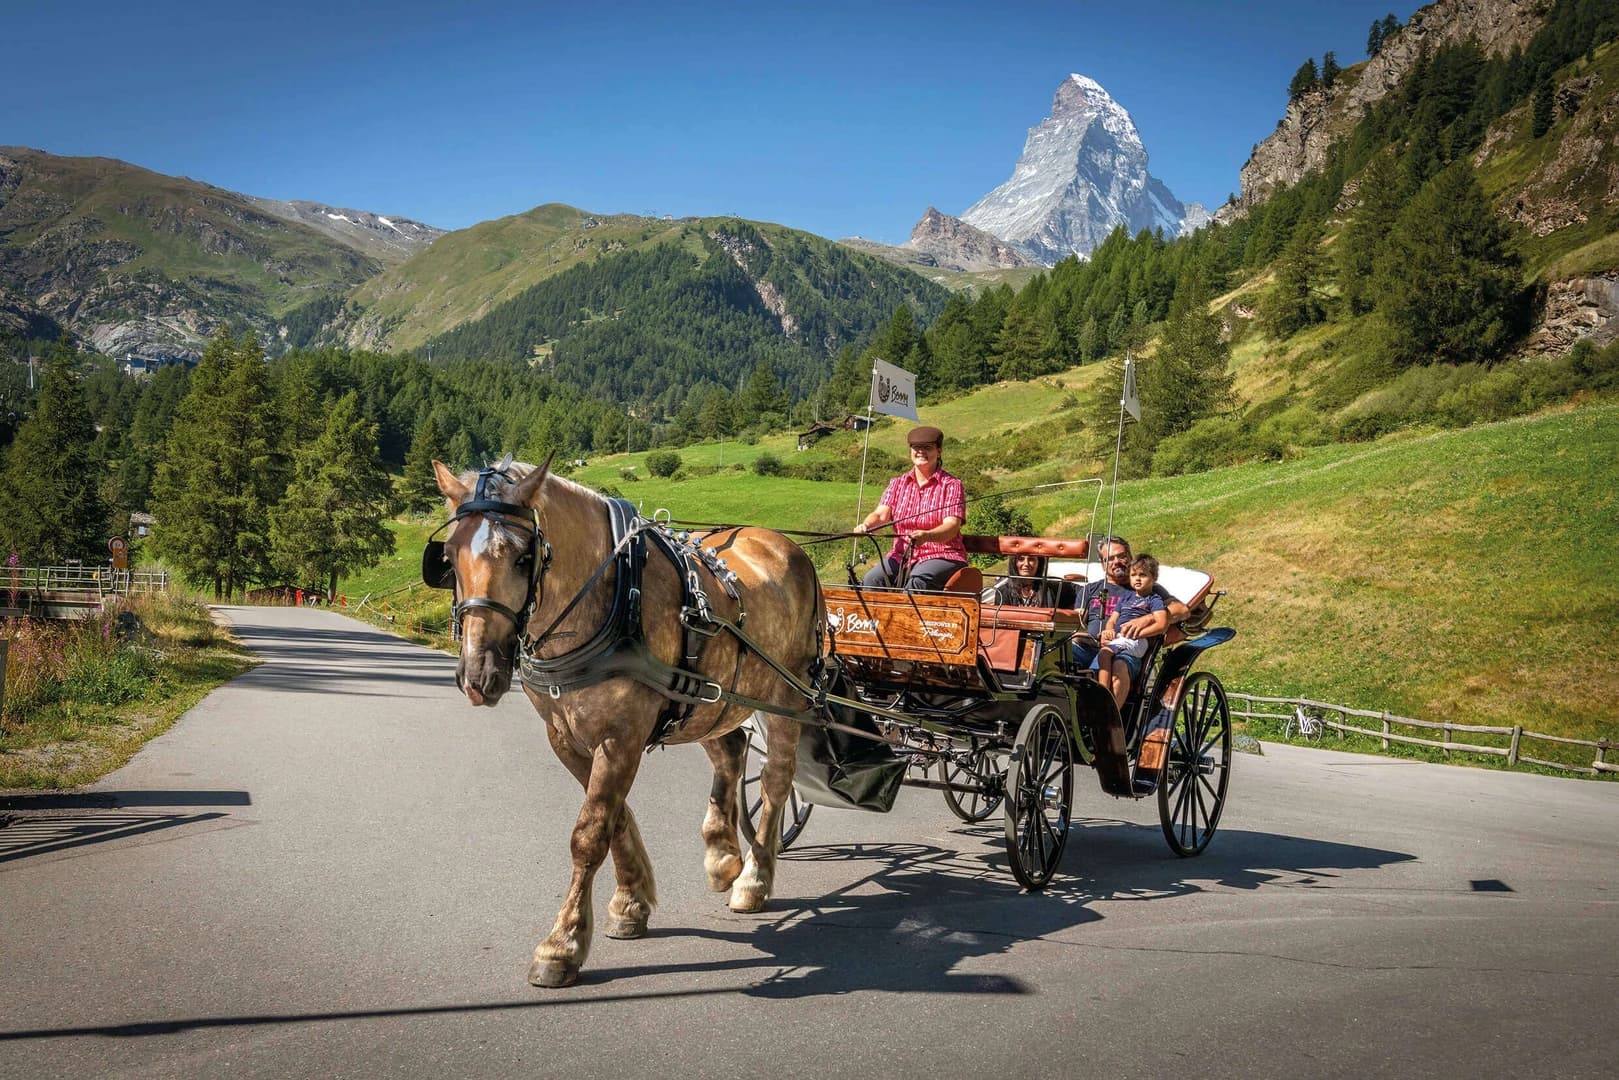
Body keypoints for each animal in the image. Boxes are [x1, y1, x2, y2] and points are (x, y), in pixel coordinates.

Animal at [429, 457, 823, 988]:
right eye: (449, 557)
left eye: (523, 558)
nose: (478, 675)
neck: (614, 593)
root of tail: (787, 545)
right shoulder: (565, 736)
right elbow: (613, 819)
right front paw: (631, 902)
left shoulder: (622, 736)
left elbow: (589, 833)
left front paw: (562, 944)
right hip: (708, 699)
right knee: (732, 752)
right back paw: (723, 858)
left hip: (787, 694)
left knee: (777, 780)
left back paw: (753, 879)